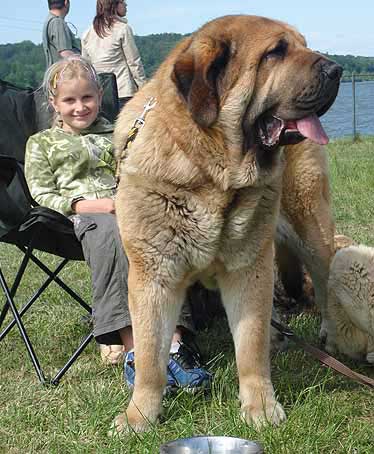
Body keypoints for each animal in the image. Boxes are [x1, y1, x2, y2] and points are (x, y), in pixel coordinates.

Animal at [112, 15, 340, 432]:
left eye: (302, 45)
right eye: (276, 52)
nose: (337, 70)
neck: (209, 170)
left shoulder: (249, 269)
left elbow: (250, 345)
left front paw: (260, 406)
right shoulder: (154, 276)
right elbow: (150, 354)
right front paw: (139, 416)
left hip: (309, 226)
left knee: (324, 280)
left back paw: (328, 333)